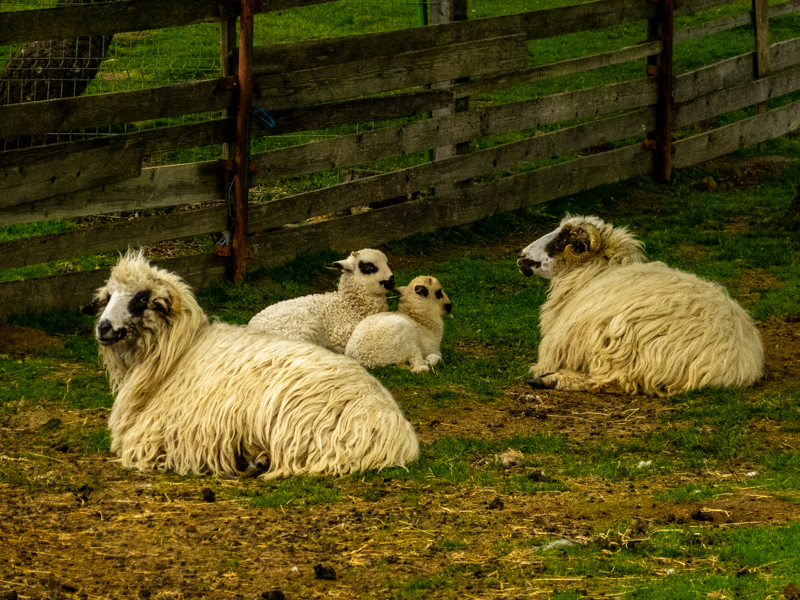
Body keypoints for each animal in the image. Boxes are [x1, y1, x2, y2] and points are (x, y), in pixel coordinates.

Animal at [516, 215, 764, 396]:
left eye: (563, 241)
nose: (521, 256)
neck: (593, 274)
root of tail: (729, 364)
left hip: (618, 343)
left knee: (613, 381)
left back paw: (551, 380)